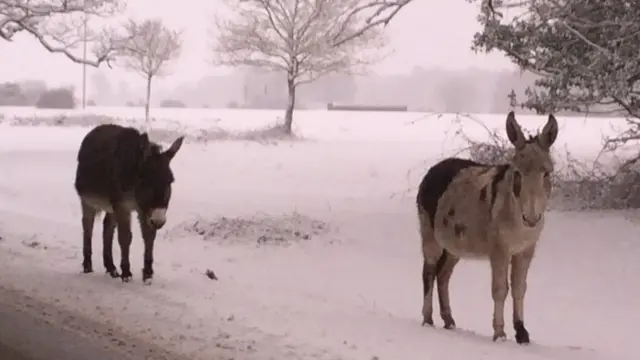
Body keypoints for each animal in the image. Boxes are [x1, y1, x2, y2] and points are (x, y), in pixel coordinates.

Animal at [76, 124, 185, 284]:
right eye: (147, 181)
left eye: (170, 181)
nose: (159, 221)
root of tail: (97, 128)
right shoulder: (123, 206)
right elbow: (125, 237)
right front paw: (126, 273)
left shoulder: (143, 209)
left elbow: (148, 237)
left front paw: (147, 274)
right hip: (88, 201)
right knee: (87, 226)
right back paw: (88, 267)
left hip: (111, 206)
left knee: (107, 227)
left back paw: (111, 268)